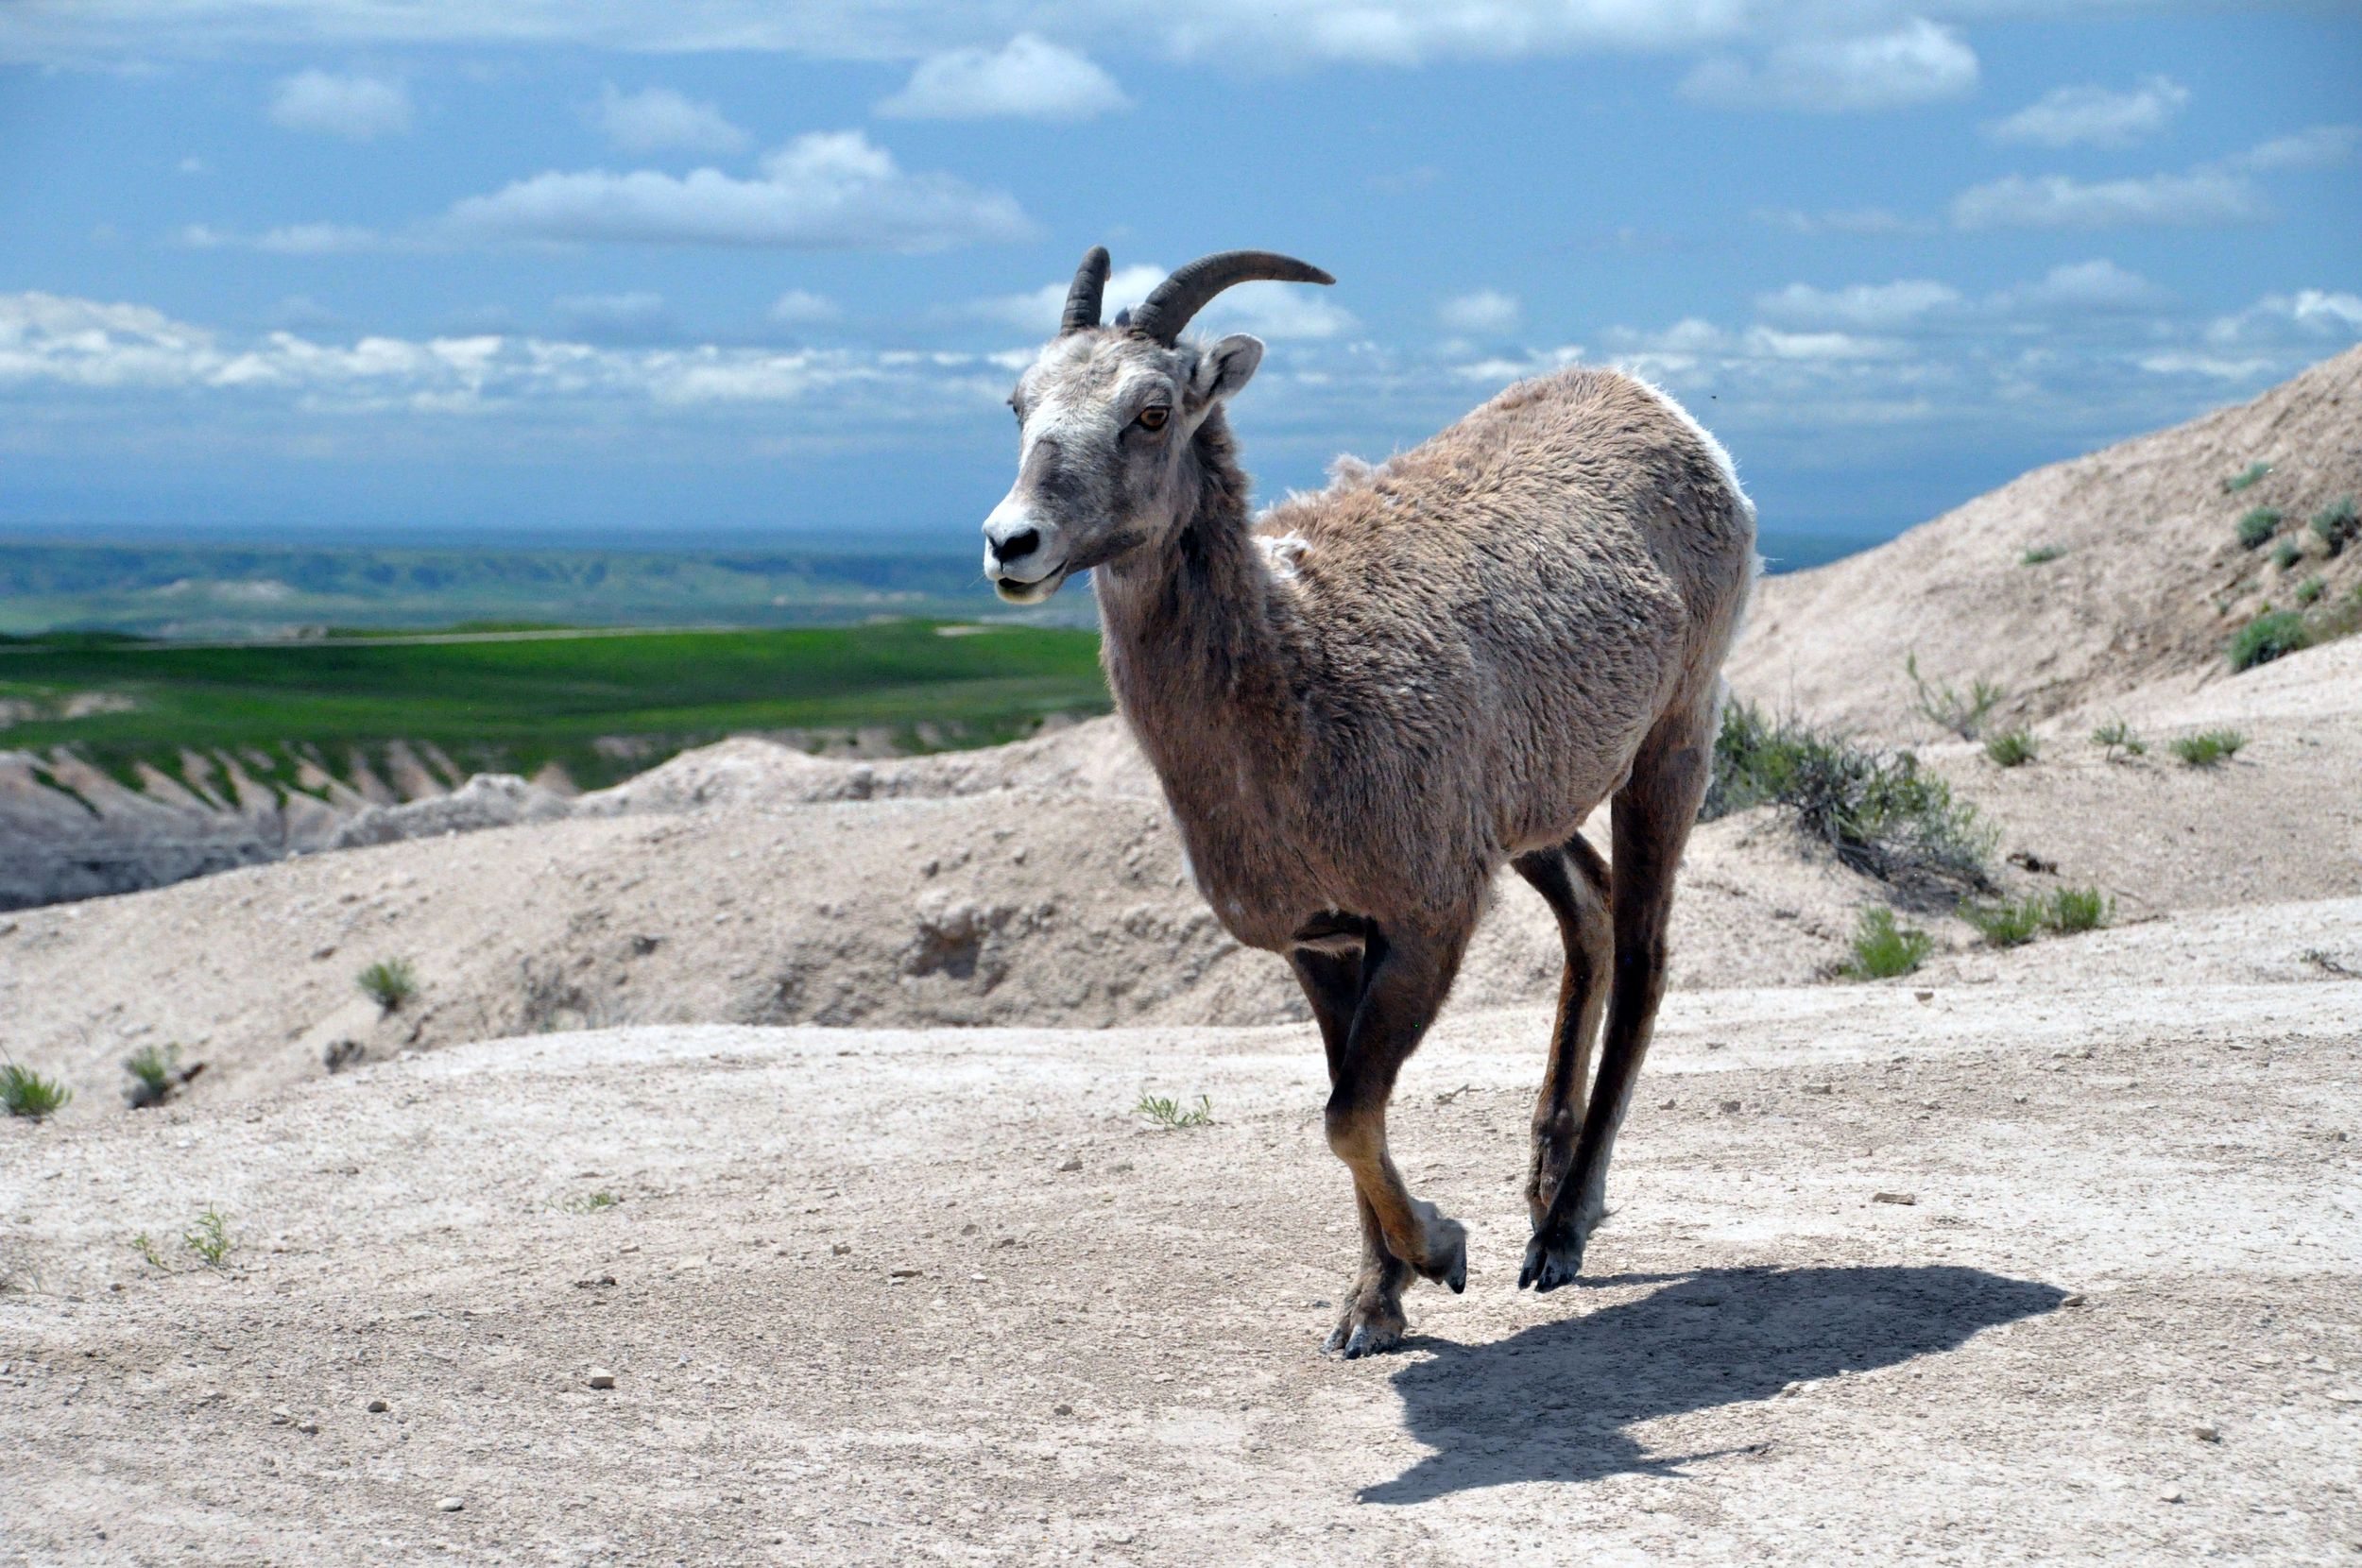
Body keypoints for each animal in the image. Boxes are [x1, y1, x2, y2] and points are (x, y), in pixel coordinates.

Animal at [982, 248, 1757, 1358]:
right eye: (1019, 403)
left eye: (1152, 411)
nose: (1013, 543)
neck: (1297, 674)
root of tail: (1665, 412)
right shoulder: (1325, 943)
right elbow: (1347, 1108)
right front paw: (1371, 1306)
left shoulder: (1424, 922)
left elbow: (1347, 1114)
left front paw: (1442, 1253)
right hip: (1534, 814)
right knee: (1592, 915)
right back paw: (1543, 1186)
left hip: (1671, 744)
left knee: (1645, 953)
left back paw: (1559, 1234)